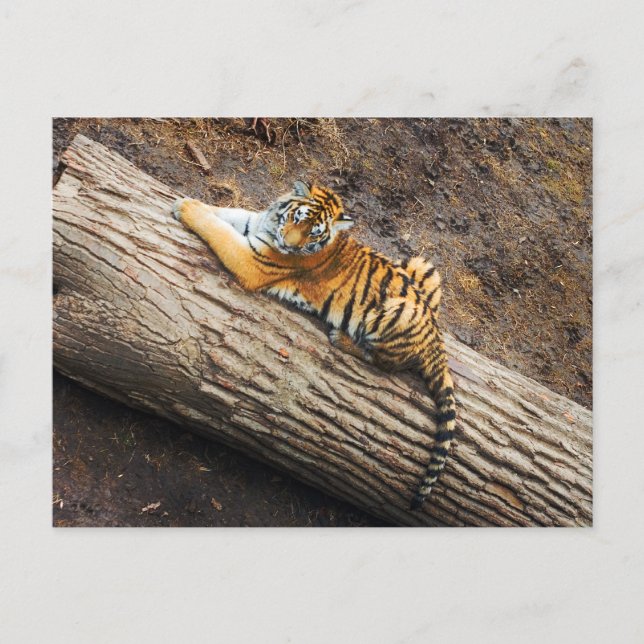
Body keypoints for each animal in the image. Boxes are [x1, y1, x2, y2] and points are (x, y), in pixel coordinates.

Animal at [172, 180, 456, 510]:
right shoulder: (253, 222)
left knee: (385, 362)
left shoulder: (252, 261)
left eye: (314, 233)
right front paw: (190, 201)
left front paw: (185, 208)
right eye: (297, 219)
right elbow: (227, 213)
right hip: (420, 264)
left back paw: (341, 338)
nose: (289, 245)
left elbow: (219, 230)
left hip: (397, 312)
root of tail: (436, 338)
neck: (271, 225)